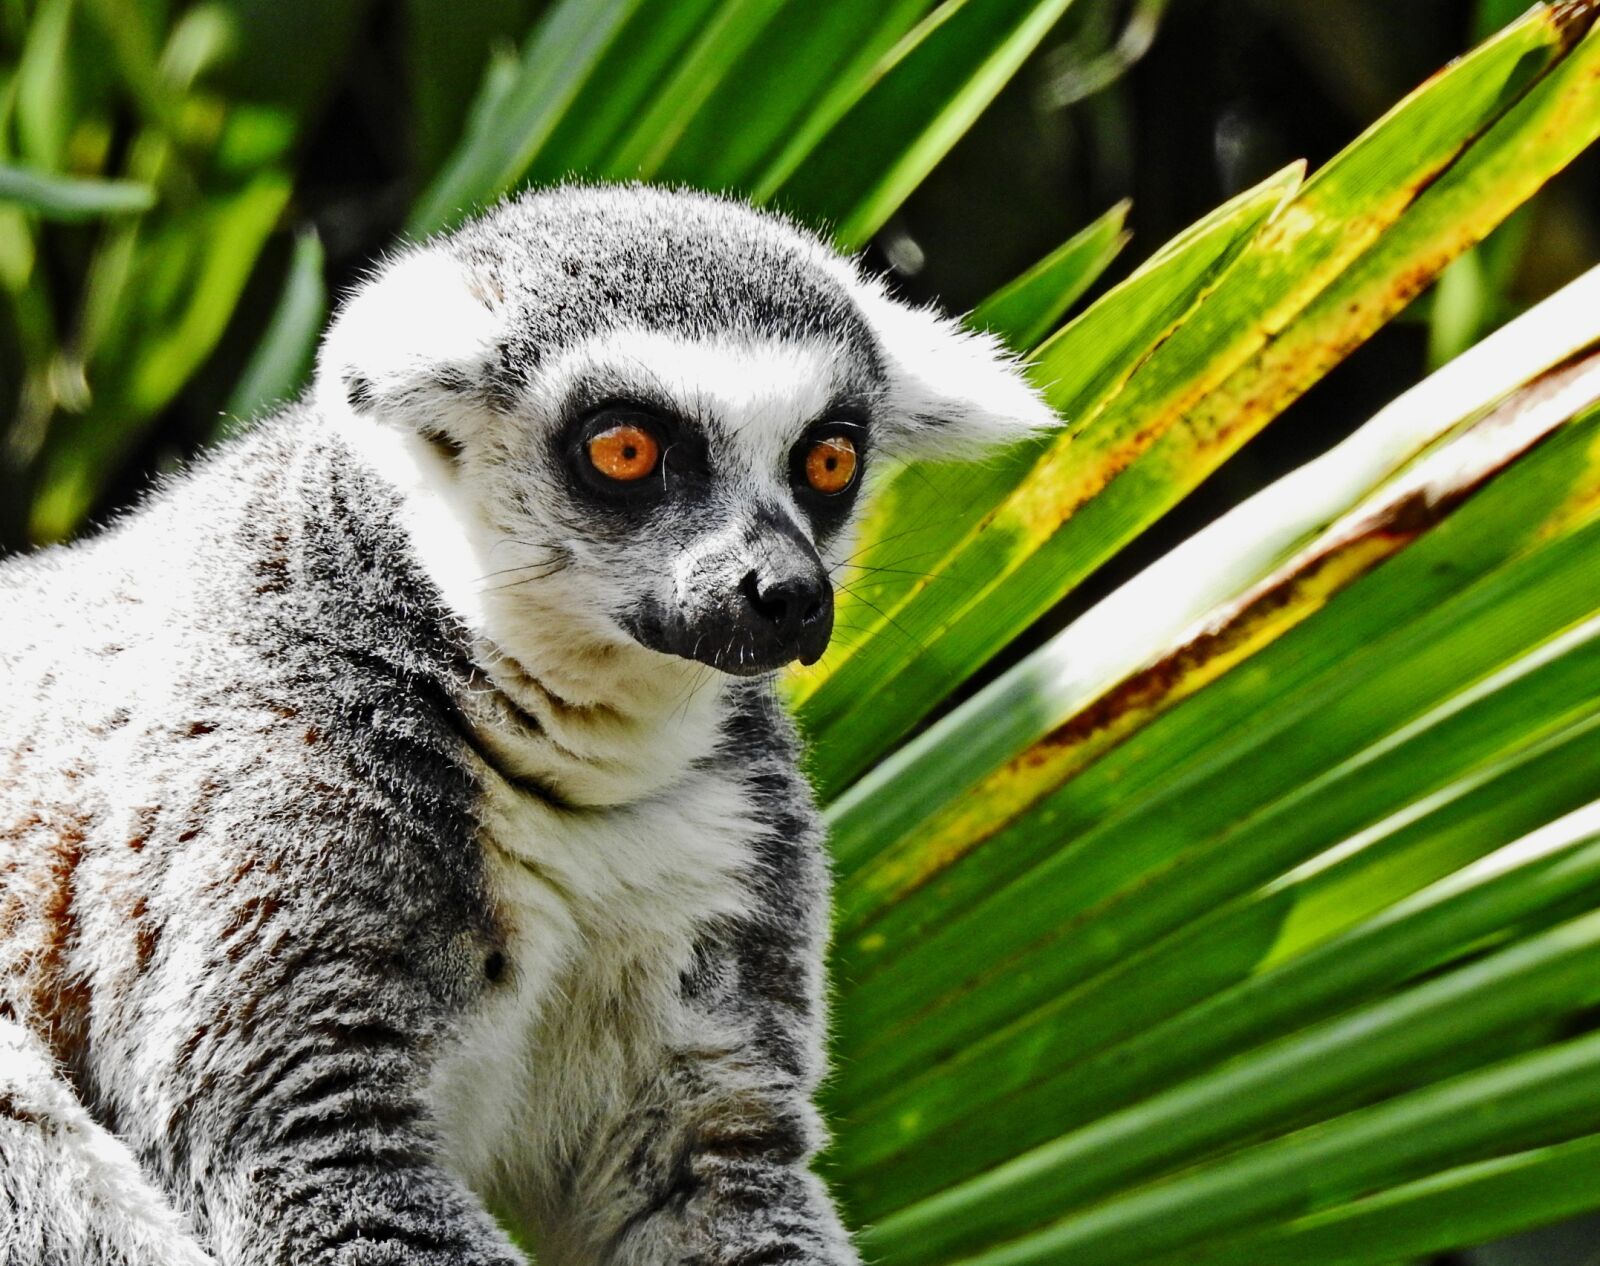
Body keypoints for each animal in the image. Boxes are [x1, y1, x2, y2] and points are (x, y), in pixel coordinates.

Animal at [0, 184, 1053, 1265]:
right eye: (624, 449)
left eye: (830, 459)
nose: (788, 593)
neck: (578, 741)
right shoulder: (285, 783)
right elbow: (303, 1139)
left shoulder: (730, 839)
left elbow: (698, 1161)